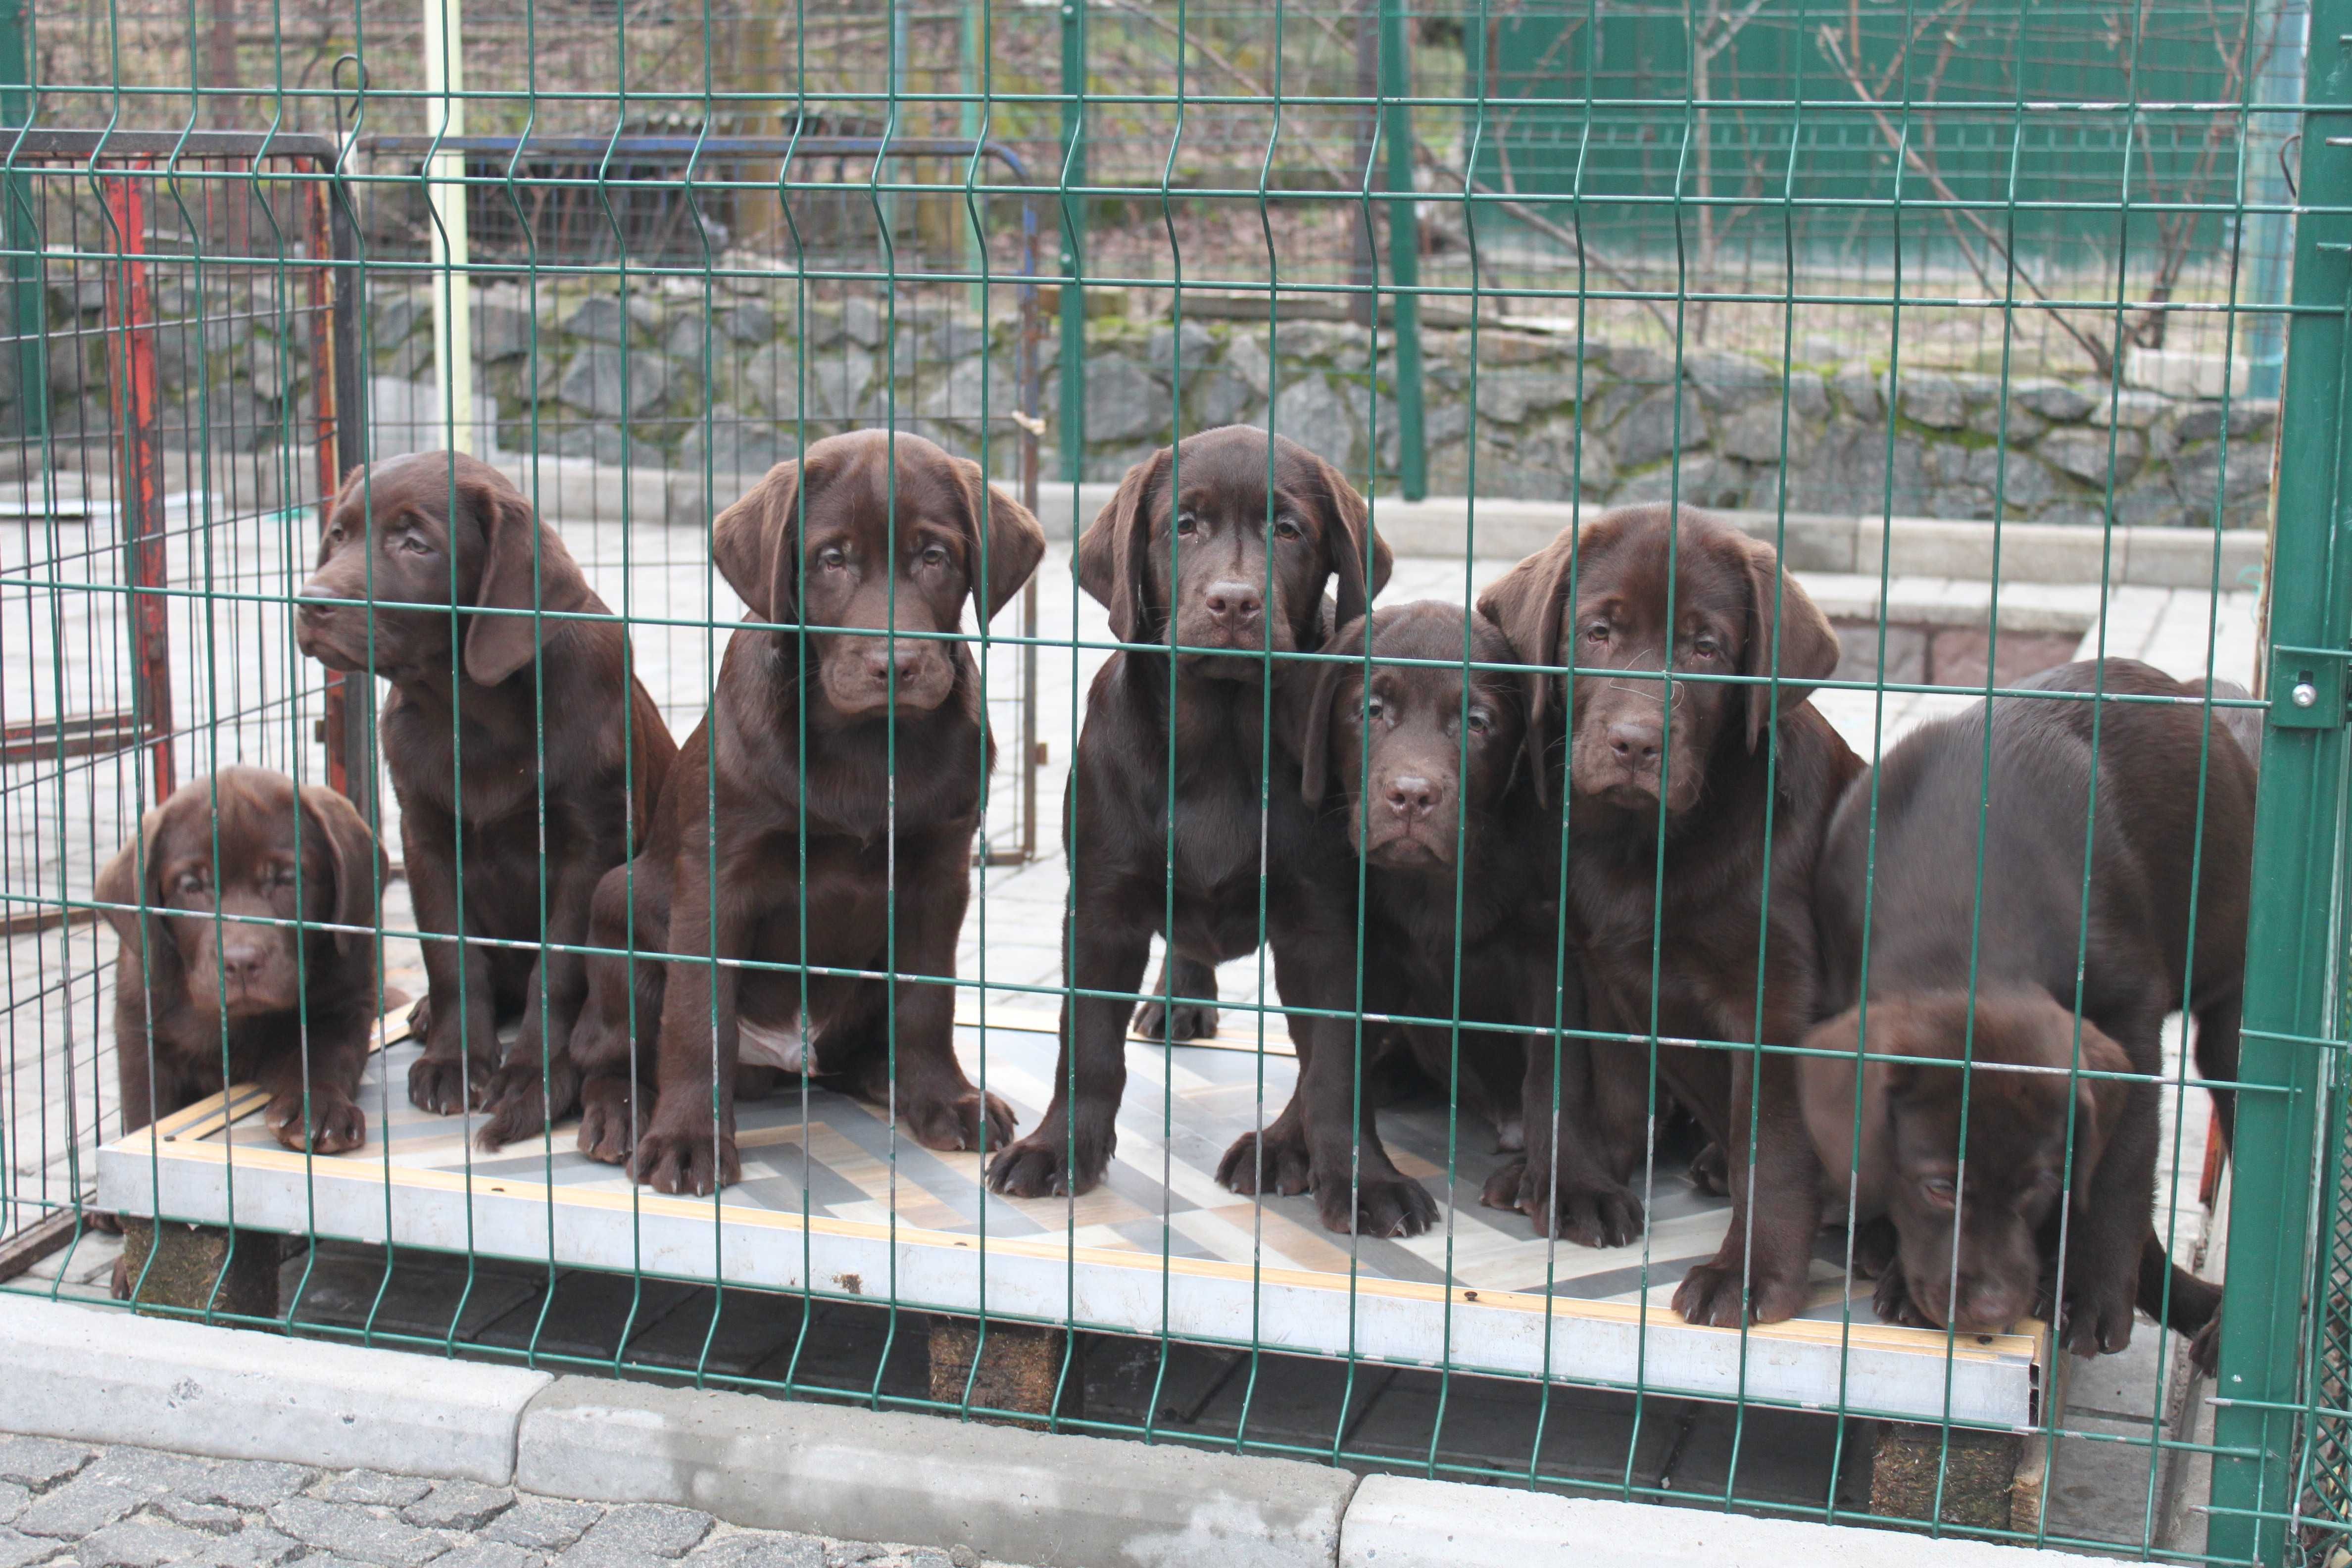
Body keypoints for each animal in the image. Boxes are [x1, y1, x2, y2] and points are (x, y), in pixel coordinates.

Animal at [98, 771, 390, 1152]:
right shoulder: (142, 1038)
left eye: (287, 879)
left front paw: (321, 1109)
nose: (240, 963)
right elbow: (148, 1110)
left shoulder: (345, 1002)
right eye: (192, 885)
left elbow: (325, 1057)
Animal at [564, 425, 1044, 1189]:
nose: (896, 666)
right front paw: (689, 1139)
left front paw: (946, 1097)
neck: (869, 741)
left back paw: (891, 1079)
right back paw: (621, 1114)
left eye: (934, 557)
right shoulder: (716, 879)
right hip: (620, 903)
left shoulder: (939, 875)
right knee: (607, 1054)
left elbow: (928, 1000)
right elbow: (695, 1021)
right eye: (832, 559)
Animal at [1797, 658, 2257, 1363]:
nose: (1992, 1309)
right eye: (1939, 1187)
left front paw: (2088, 1290)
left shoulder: (2126, 1011)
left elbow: (2121, 1163)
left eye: (2038, 1183)